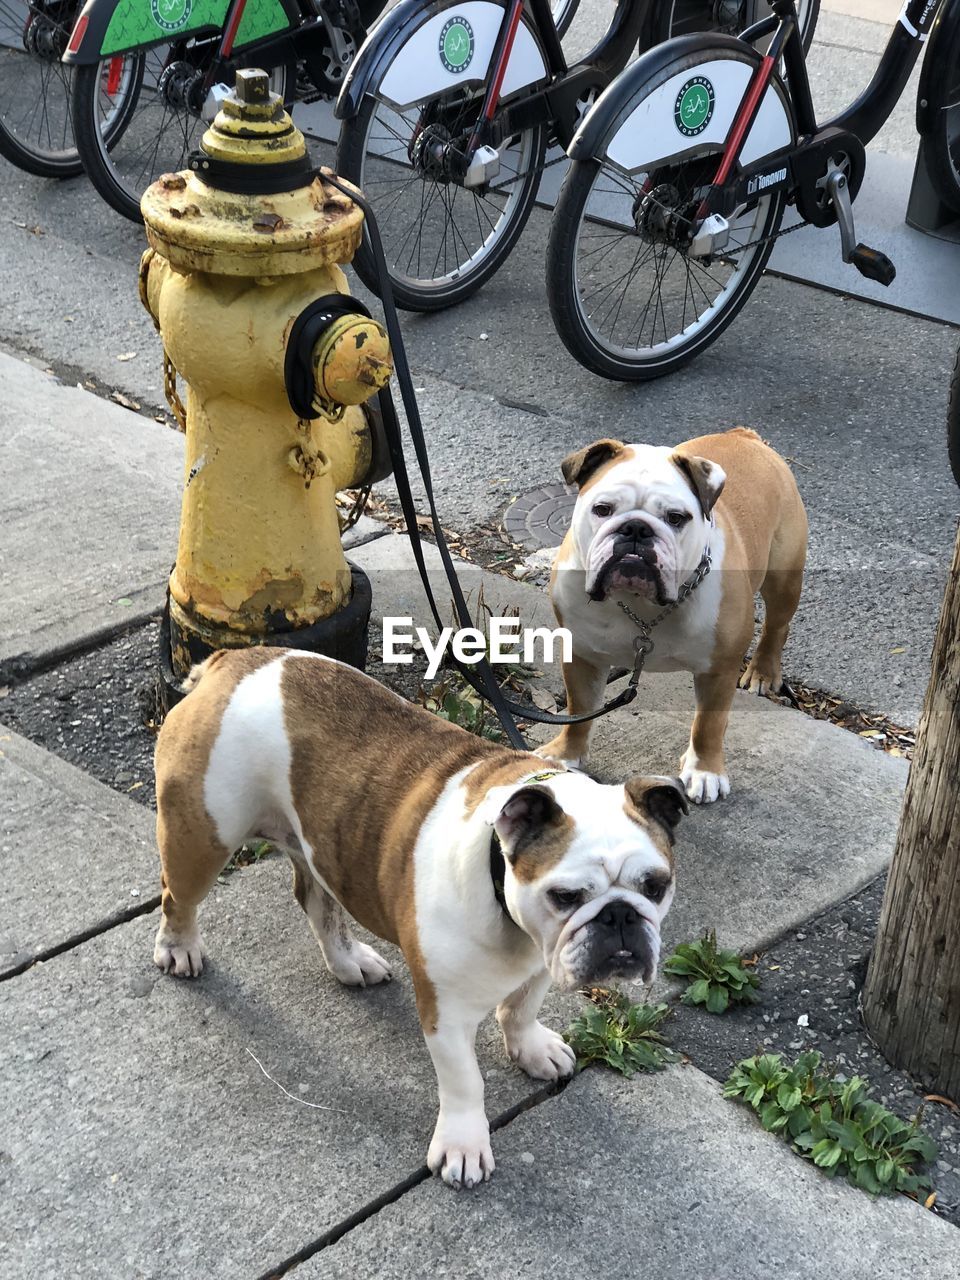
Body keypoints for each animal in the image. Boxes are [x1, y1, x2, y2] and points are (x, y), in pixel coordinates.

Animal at [154, 650, 686, 1187]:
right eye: (566, 896)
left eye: (656, 887)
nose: (620, 916)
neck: (500, 879)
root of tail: (233, 661)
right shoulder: (446, 1012)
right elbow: (466, 1082)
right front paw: (464, 1146)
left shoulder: (543, 958)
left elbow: (520, 1011)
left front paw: (532, 1049)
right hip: (202, 836)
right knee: (178, 897)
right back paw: (179, 947)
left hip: (315, 845)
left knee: (318, 902)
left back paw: (349, 962)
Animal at [545, 435, 808, 803]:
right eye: (602, 509)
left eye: (675, 517)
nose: (636, 529)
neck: (640, 604)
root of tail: (744, 435)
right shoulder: (582, 654)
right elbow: (578, 710)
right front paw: (565, 755)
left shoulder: (719, 669)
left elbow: (708, 725)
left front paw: (705, 771)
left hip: (783, 577)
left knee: (776, 625)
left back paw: (763, 671)